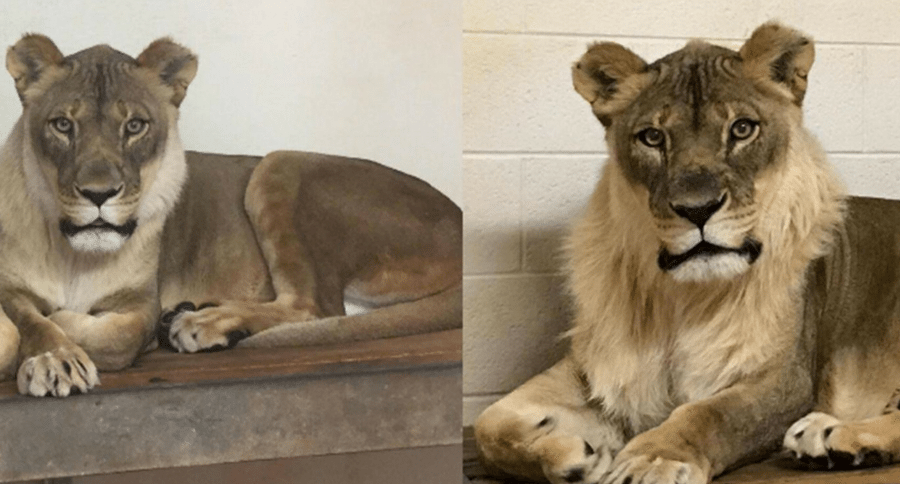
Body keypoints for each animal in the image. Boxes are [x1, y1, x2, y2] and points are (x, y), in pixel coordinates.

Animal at [0, 34, 461, 398]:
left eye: (134, 126)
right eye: (62, 125)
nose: (99, 194)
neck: (74, 255)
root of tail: (456, 212)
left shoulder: (142, 301)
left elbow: (116, 335)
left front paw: (62, 332)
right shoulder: (9, 285)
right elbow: (28, 320)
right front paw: (54, 356)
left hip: (279, 163)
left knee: (316, 307)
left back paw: (202, 322)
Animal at [474, 22, 900, 484]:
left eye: (742, 129)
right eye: (653, 137)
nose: (698, 209)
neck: (678, 299)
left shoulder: (785, 380)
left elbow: (709, 415)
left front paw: (651, 460)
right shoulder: (598, 369)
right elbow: (488, 423)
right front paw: (573, 456)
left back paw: (830, 436)